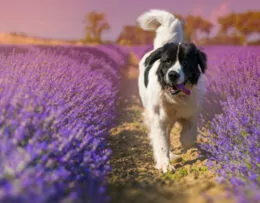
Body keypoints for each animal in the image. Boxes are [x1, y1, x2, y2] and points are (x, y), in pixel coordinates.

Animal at [136, 9, 207, 173]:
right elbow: (161, 142)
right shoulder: (158, 118)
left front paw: (186, 143)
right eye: (167, 61)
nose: (172, 74)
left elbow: (189, 136)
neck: (176, 98)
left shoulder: (192, 112)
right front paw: (165, 164)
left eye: (186, 62)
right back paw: (171, 156)